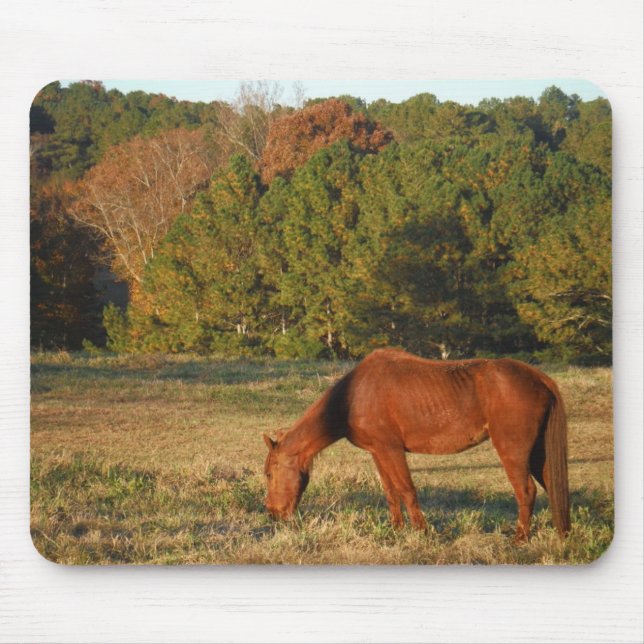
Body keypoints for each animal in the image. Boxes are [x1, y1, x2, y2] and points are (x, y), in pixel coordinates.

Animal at [263, 348, 570, 541]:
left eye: (268, 473)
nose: (273, 514)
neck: (354, 396)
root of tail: (539, 378)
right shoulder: (378, 452)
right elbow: (391, 493)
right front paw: (396, 531)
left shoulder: (391, 450)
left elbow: (407, 491)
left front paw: (421, 533)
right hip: (538, 454)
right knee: (550, 486)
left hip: (513, 452)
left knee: (526, 491)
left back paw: (520, 539)